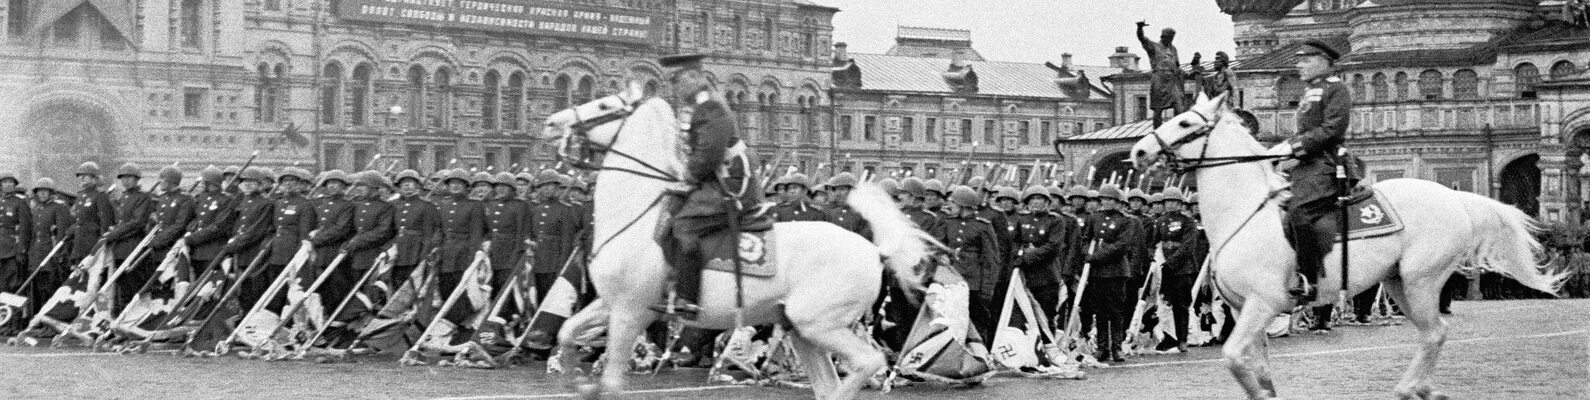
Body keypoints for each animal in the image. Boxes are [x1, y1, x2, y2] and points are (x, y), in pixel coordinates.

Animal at [540, 82, 934, 400]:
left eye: (605, 105)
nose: (551, 123)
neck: (636, 216)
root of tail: (874, 249)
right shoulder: (610, 304)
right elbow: (566, 331)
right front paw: (575, 379)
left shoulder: (631, 311)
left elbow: (611, 382)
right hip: (801, 330)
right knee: (829, 383)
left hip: (820, 324)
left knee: (868, 362)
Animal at [1132, 92, 1564, 398]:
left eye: (1186, 121)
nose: (1139, 150)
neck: (1245, 214)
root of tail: (1453, 196)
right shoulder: (1243, 309)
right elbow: (1259, 370)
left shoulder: (1263, 303)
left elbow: (1234, 358)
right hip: (1397, 283)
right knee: (1433, 332)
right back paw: (1424, 388)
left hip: (1422, 280)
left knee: (1434, 333)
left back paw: (1410, 388)